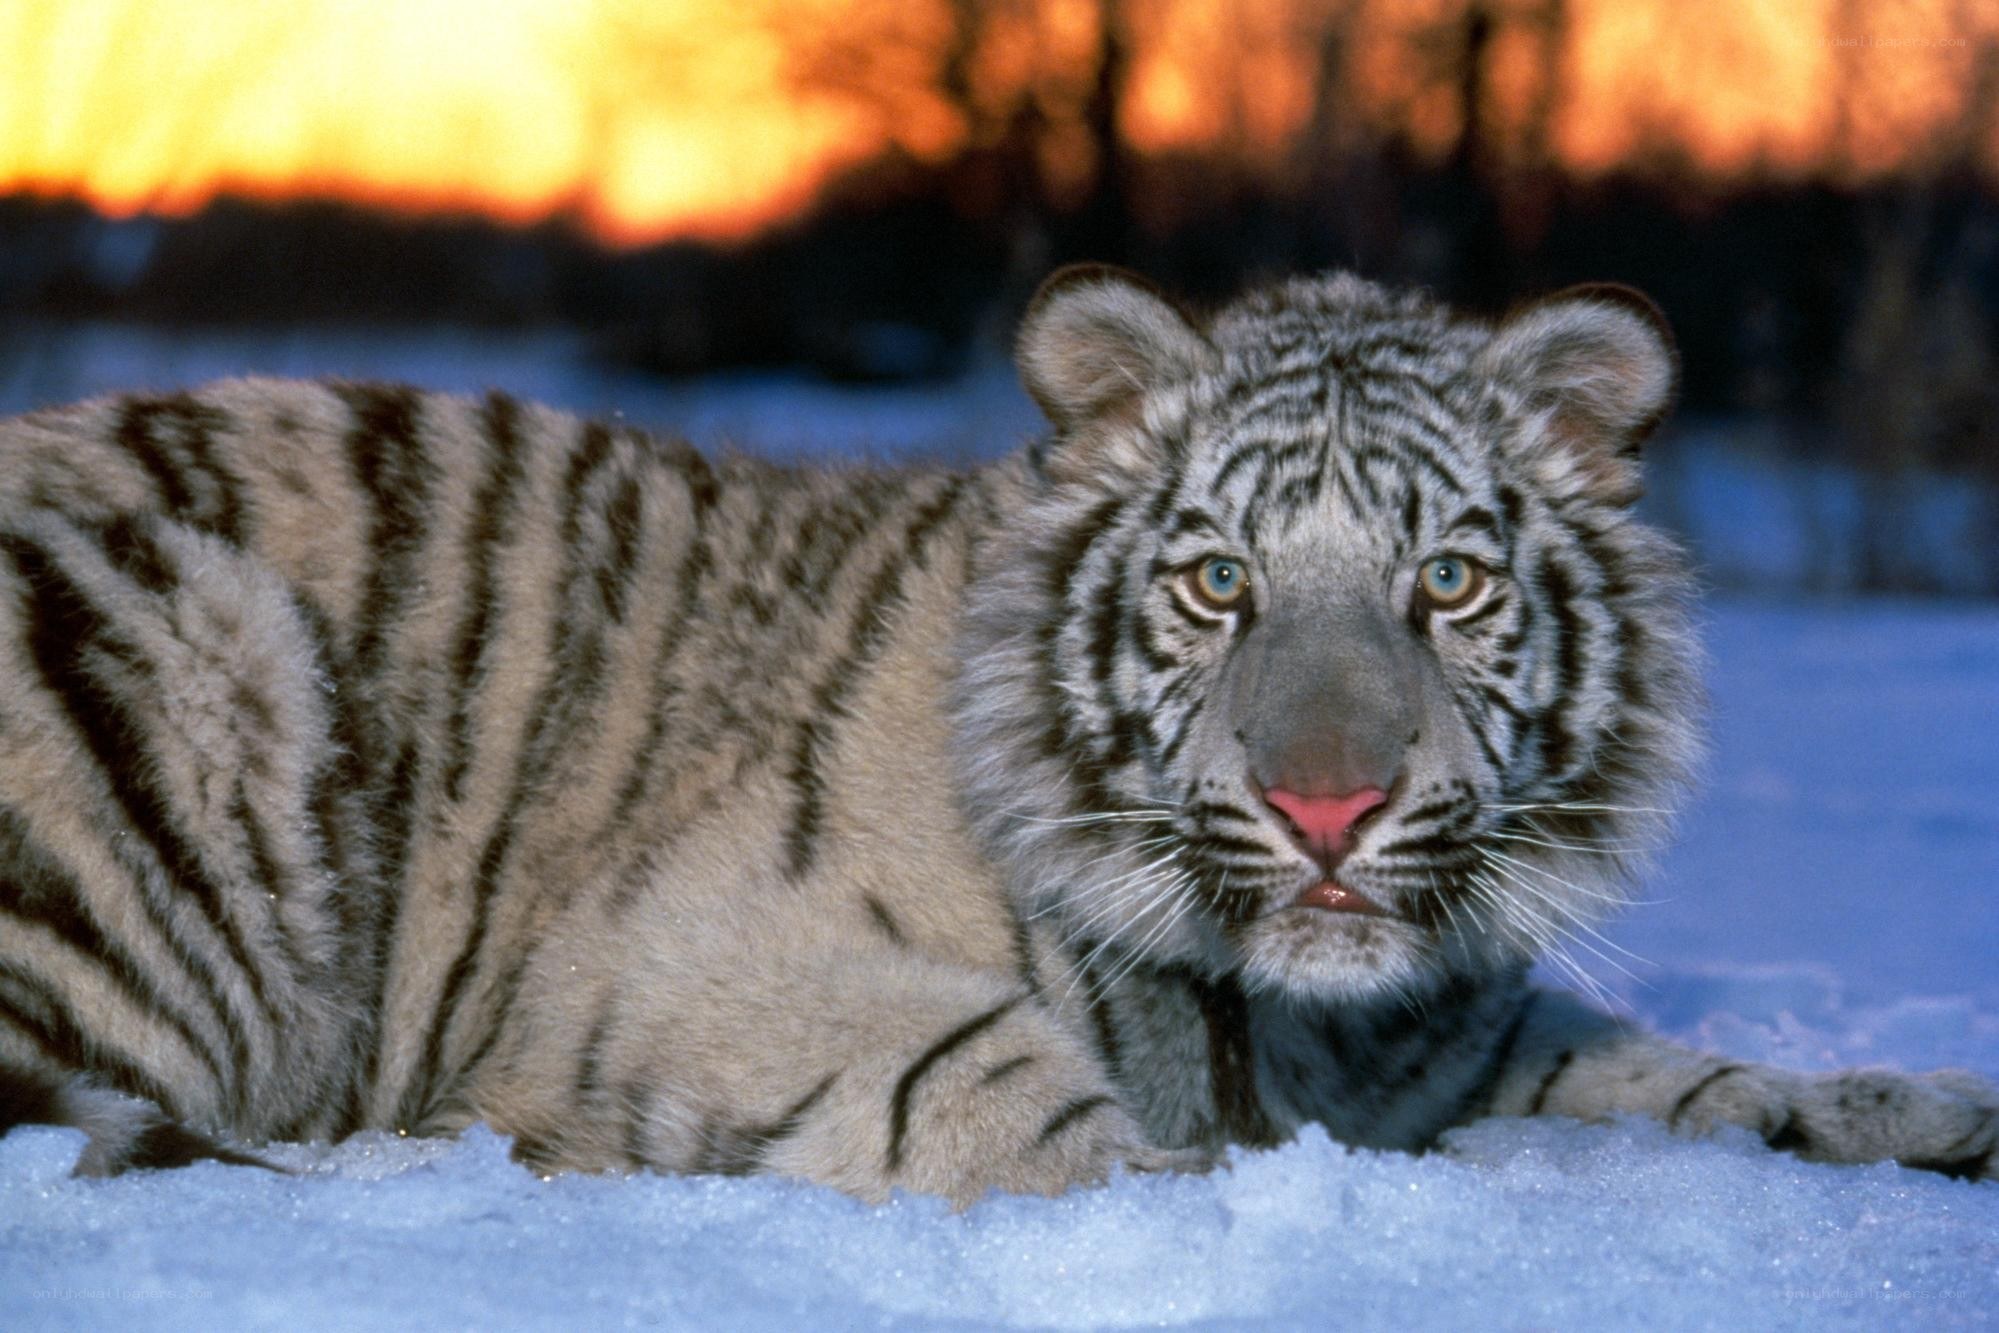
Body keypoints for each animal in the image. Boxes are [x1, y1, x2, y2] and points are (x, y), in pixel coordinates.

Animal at [0, 264, 1993, 1202]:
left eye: (1443, 581)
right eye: (1213, 582)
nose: (1328, 808)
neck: (1284, 1016)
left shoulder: (1441, 1038)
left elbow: (1680, 1076)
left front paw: (1918, 1110)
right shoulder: (690, 957)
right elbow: (995, 1080)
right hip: (200, 670)